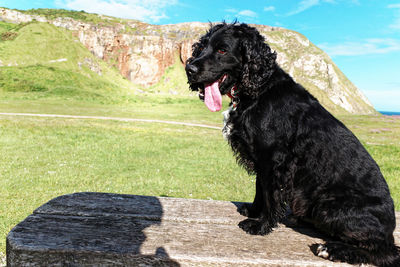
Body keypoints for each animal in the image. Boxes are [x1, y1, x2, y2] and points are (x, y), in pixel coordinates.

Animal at [186, 22, 398, 266]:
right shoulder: (262, 160)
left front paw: (261, 225)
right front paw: (253, 211)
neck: (259, 89)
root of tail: (390, 226)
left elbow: (270, 195)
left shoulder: (274, 160)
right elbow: (260, 190)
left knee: (384, 251)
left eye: (222, 50)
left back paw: (330, 249)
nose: (189, 68)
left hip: (329, 206)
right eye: (202, 47)